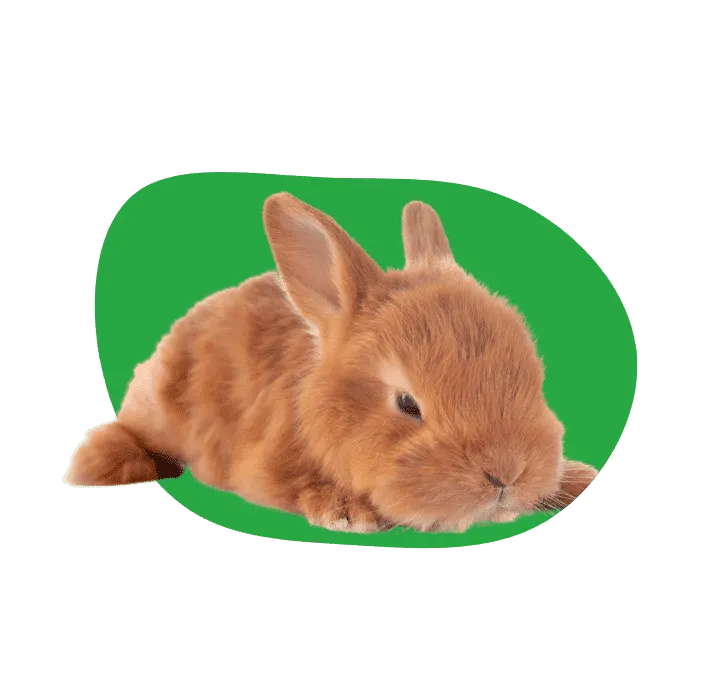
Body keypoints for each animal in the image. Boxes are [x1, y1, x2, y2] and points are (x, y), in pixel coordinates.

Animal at [65, 192, 599, 533]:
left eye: (532, 378)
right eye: (407, 405)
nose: (506, 476)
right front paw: (349, 512)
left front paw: (576, 478)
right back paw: (102, 464)